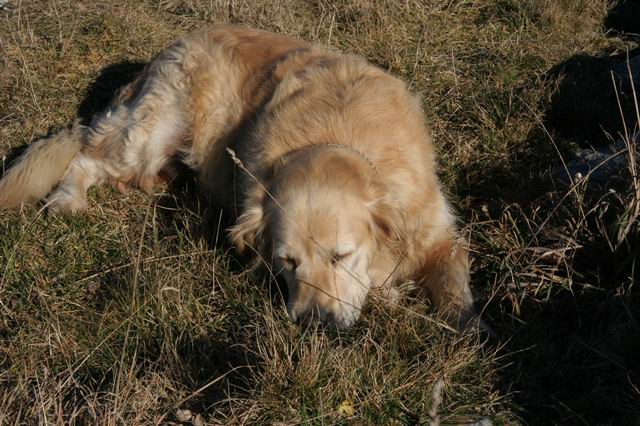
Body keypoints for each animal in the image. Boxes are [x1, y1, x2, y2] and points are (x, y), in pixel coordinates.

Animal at [0, 25, 482, 332]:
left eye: (341, 256)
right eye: (287, 261)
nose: (314, 324)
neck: (337, 134)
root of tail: (166, 51)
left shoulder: (439, 233)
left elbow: (454, 290)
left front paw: (466, 331)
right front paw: (391, 294)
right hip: (149, 135)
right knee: (85, 155)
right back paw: (67, 198)